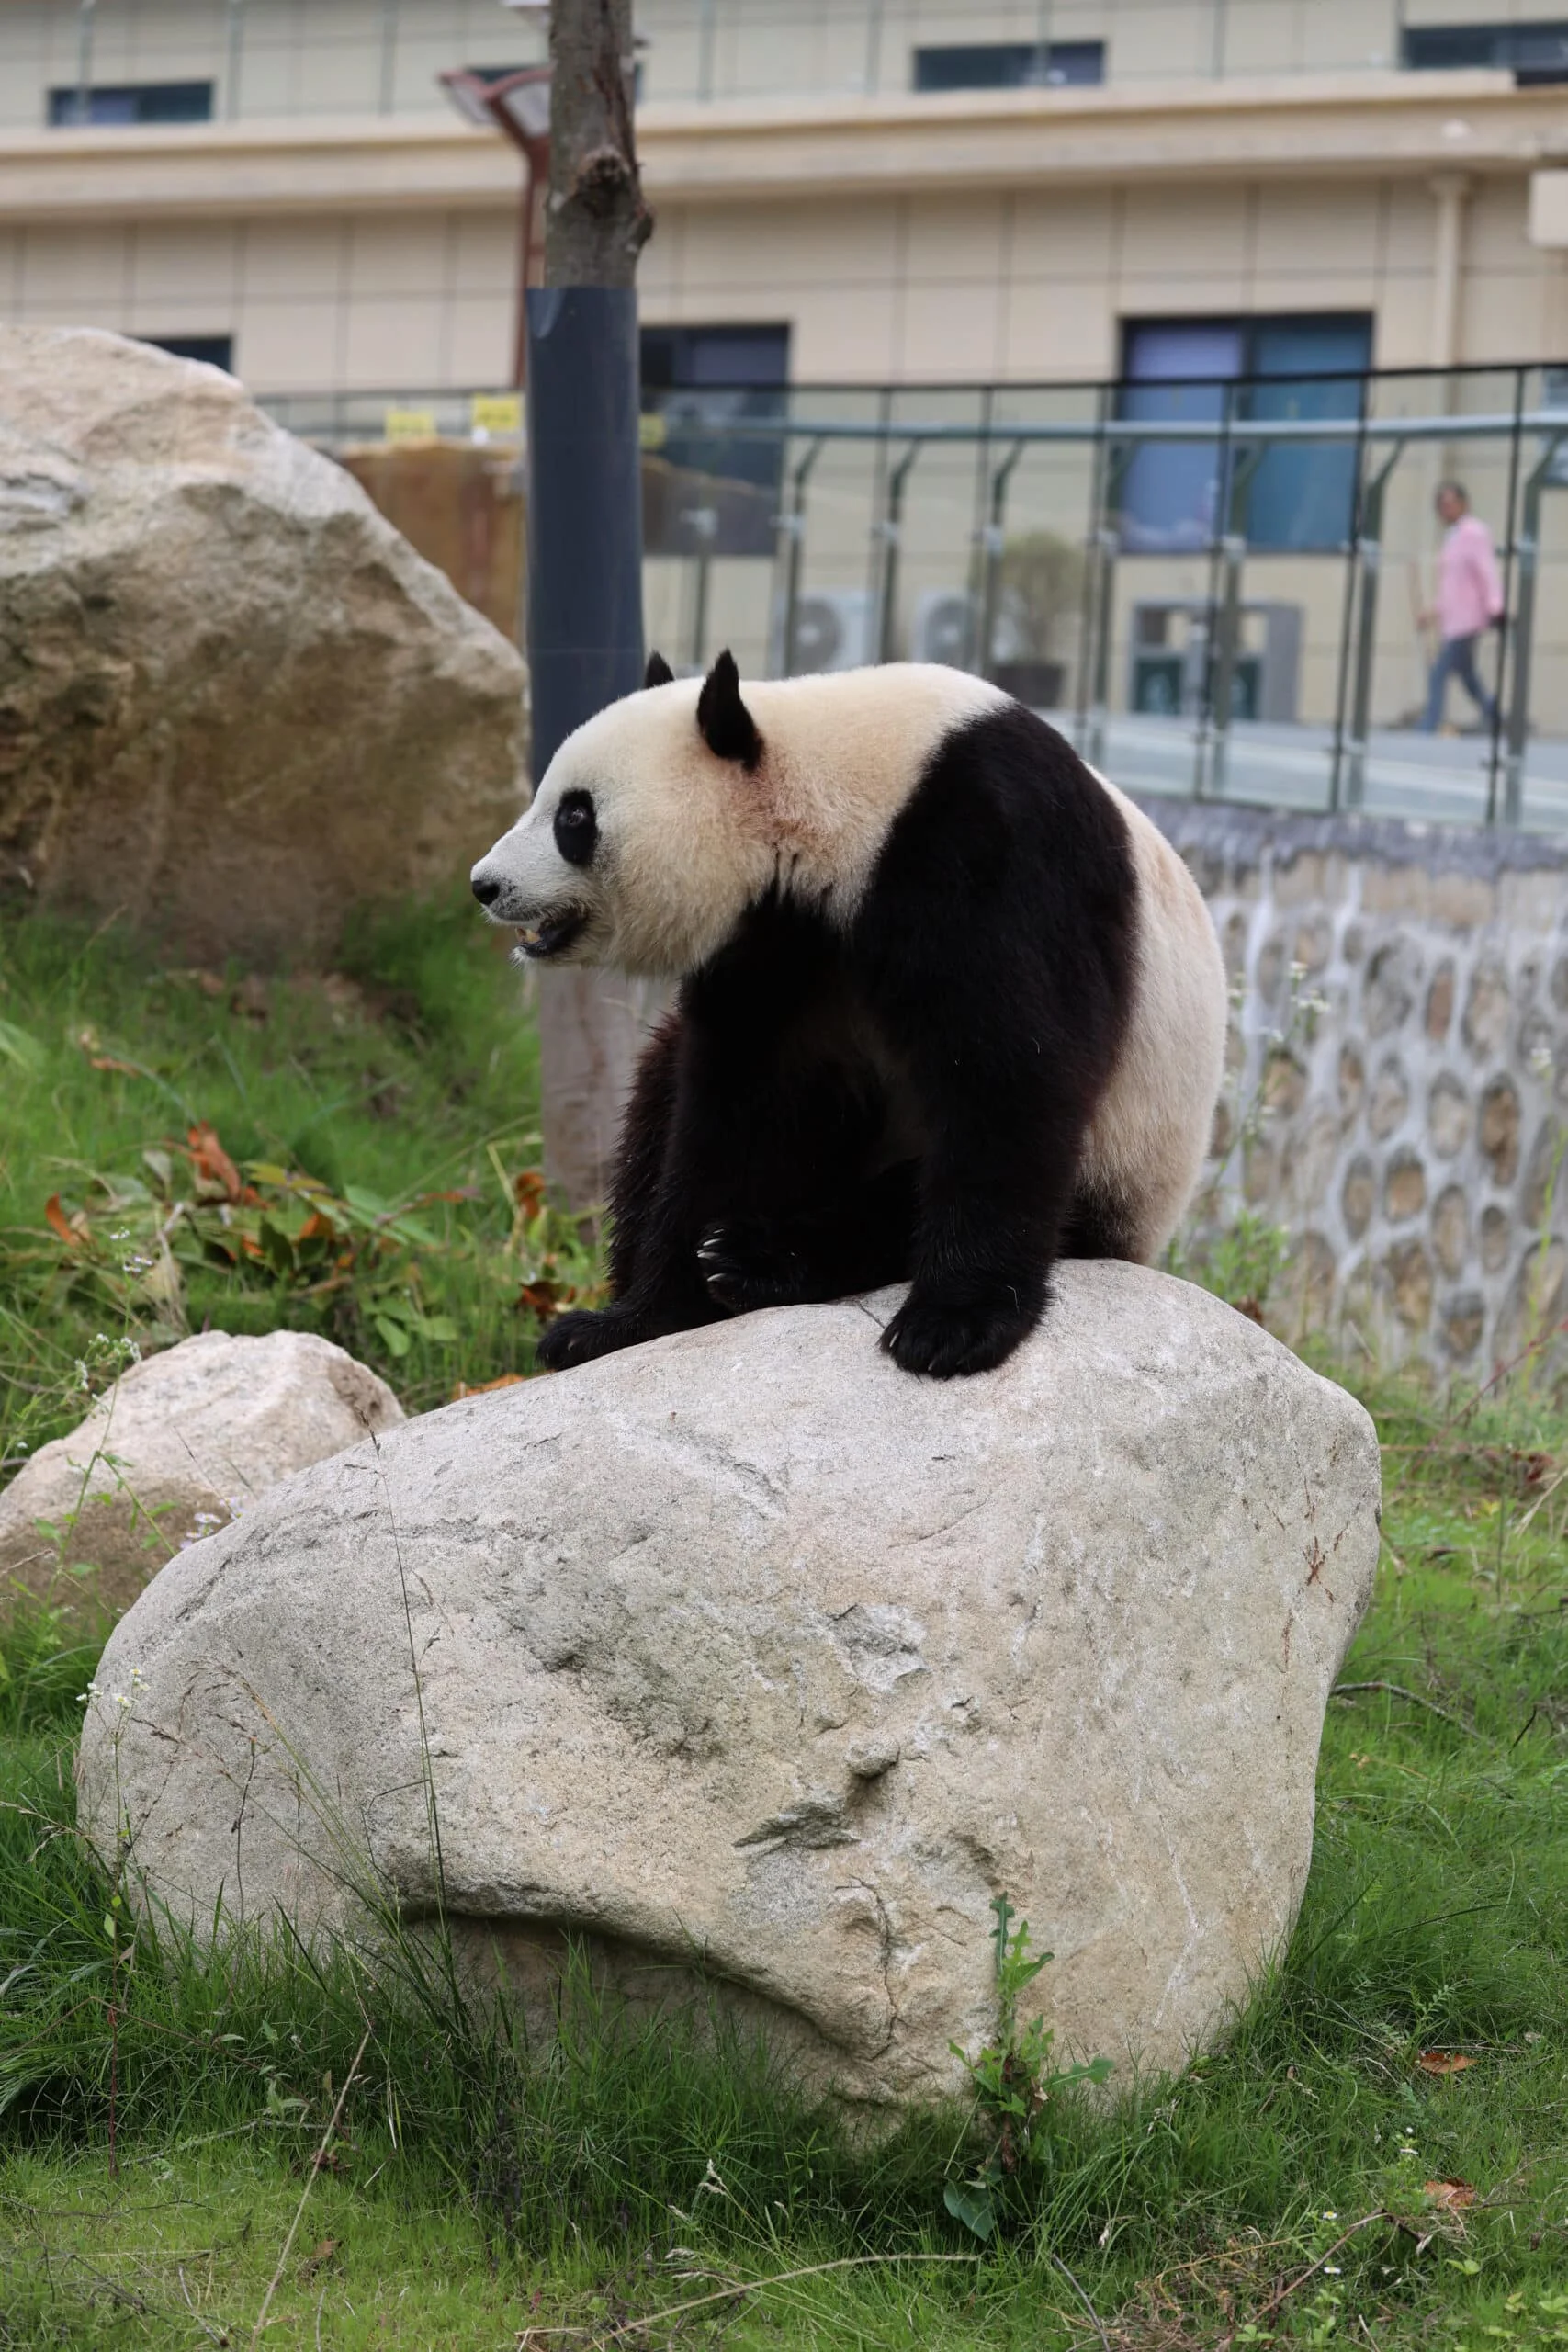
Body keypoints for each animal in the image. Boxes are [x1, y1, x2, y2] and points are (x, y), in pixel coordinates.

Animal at [471, 650, 1227, 1380]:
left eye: (574, 817)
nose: (485, 884)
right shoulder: (778, 936)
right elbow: (738, 1101)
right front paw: (633, 1321)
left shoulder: (994, 850)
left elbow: (1010, 1074)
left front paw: (951, 1327)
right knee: (660, 1096)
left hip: (1121, 1170)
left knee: (900, 1208)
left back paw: (761, 1259)